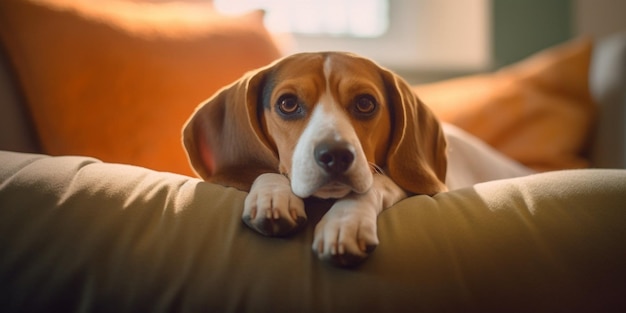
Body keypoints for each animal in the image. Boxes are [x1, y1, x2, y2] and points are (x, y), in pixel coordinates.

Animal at [183, 51, 446, 266]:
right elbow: (266, 170)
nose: (336, 155)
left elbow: (375, 184)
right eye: (288, 104)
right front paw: (273, 196)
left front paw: (345, 222)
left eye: (365, 103)